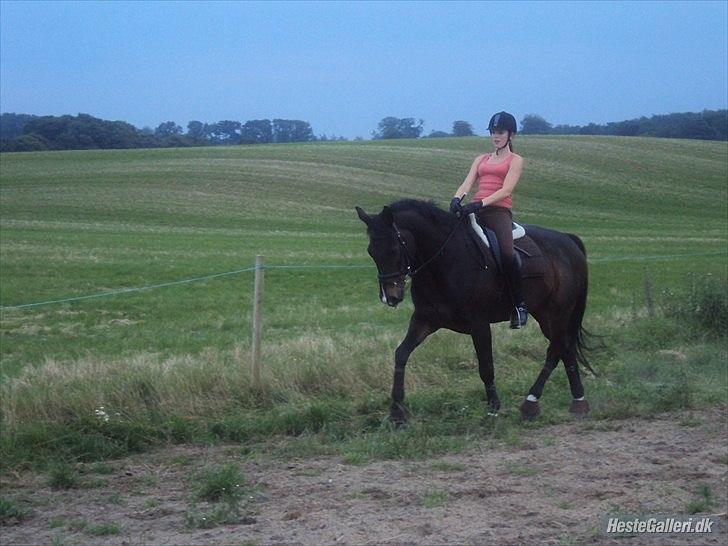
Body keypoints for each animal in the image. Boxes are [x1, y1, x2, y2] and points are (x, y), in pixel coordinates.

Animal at [356, 198, 596, 418]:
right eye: (371, 251)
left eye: (394, 248)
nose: (390, 297)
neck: (445, 261)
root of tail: (568, 239)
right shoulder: (425, 319)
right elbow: (401, 354)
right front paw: (396, 410)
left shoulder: (479, 324)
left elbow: (486, 366)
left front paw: (493, 407)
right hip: (546, 313)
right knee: (565, 348)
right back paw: (578, 401)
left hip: (556, 313)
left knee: (555, 349)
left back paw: (531, 401)